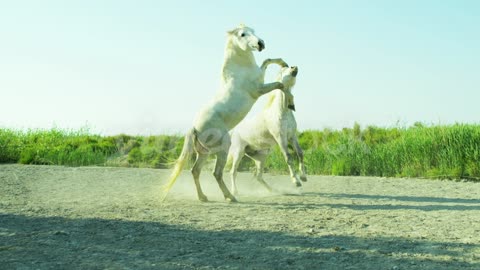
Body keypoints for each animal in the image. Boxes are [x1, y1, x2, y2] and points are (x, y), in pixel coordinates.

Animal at [161, 24, 290, 202]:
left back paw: (203, 197)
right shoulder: (258, 89)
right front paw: (287, 91)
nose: (260, 43)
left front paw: (283, 63)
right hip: (224, 148)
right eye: (242, 34)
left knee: (195, 171)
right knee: (217, 173)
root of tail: (195, 128)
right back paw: (230, 196)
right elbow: (277, 83)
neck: (240, 69)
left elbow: (267, 60)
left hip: (204, 153)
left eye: (253, 31)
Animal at [227, 65, 306, 194]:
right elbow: (288, 157)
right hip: (239, 152)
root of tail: (234, 131)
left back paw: (273, 191)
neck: (282, 111)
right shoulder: (281, 138)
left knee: (258, 176)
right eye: (283, 70)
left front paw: (303, 177)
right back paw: (235, 192)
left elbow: (300, 153)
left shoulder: (292, 136)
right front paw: (296, 181)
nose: (294, 67)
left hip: (261, 157)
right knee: (233, 172)